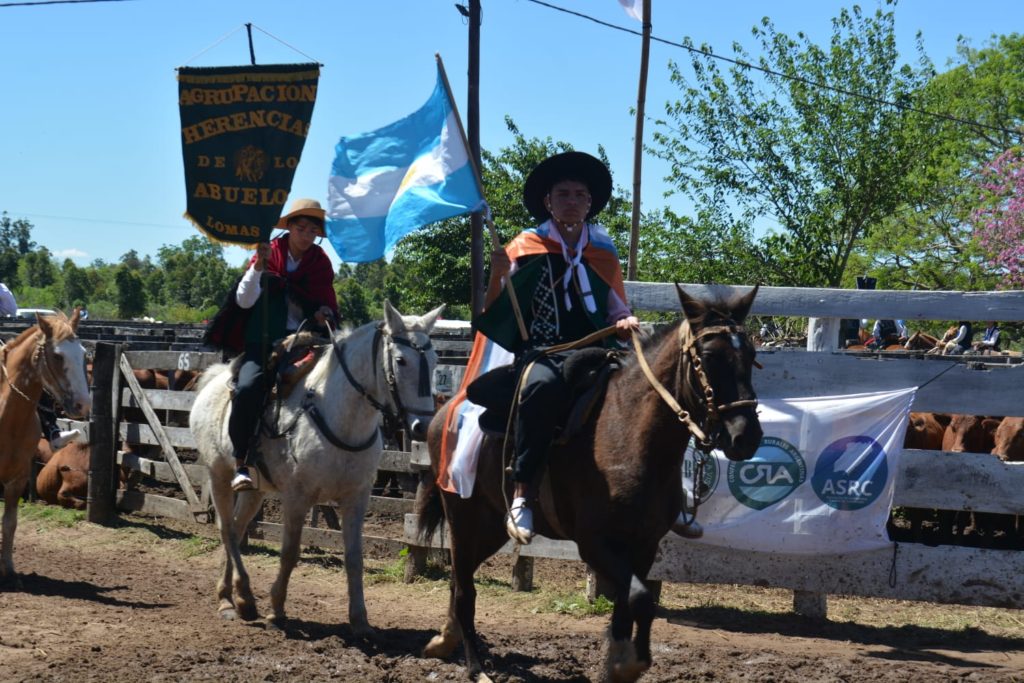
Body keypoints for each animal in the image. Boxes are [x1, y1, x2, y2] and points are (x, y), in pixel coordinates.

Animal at [1, 309, 91, 587]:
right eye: (58, 355)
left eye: (84, 353)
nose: (83, 405)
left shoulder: (18, 478)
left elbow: (10, 523)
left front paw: (10, 572)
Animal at [189, 301, 442, 632]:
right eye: (400, 360)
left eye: (435, 361)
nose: (423, 426)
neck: (339, 417)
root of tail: (215, 378)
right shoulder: (297, 497)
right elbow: (290, 552)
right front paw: (277, 610)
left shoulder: (356, 498)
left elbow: (354, 557)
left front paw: (360, 620)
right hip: (218, 474)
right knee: (227, 528)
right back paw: (234, 601)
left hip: (255, 489)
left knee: (237, 525)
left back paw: (235, 597)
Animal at [417, 285, 763, 682]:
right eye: (707, 357)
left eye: (751, 354)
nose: (745, 436)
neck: (629, 430)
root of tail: (445, 409)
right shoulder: (594, 544)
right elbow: (640, 598)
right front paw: (627, 664)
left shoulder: (644, 545)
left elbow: (628, 606)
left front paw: (616, 665)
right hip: (462, 517)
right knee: (464, 591)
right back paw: (475, 667)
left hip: (489, 526)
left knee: (460, 582)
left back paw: (444, 640)